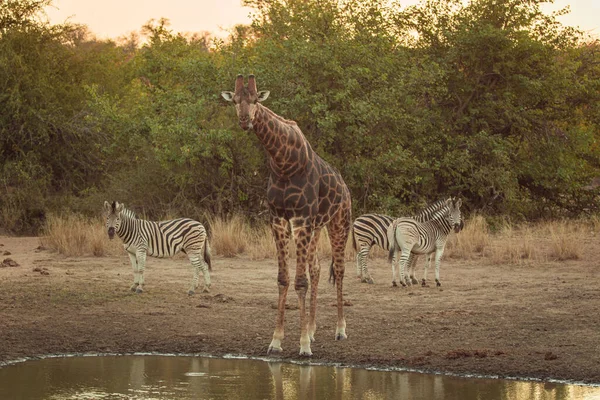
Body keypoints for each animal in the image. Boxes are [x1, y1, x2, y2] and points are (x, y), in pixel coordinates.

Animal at [221, 75, 352, 356]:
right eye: (235, 101)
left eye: (255, 99)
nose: (245, 120)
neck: (283, 162)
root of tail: (345, 187)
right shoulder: (279, 219)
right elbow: (284, 279)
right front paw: (277, 341)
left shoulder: (300, 219)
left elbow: (300, 282)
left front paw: (303, 346)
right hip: (316, 227)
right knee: (317, 268)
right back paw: (312, 329)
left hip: (339, 223)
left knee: (339, 269)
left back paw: (340, 330)